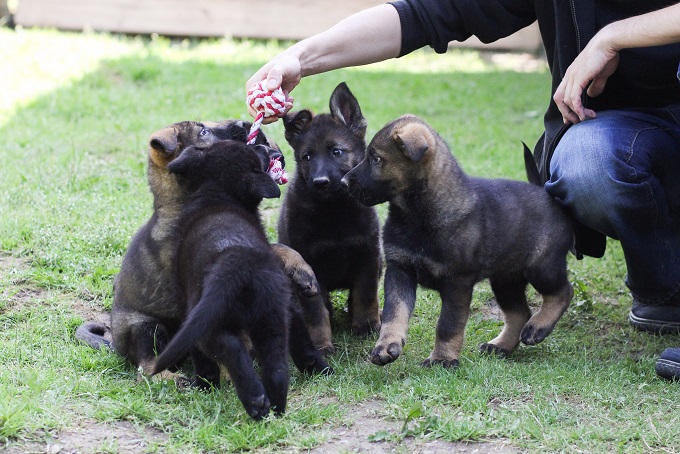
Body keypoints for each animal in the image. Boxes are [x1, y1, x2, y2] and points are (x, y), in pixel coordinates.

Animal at [276, 82, 382, 352]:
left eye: (337, 152)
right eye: (307, 157)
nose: (320, 182)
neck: (334, 210)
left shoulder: (368, 254)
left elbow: (366, 294)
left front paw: (366, 325)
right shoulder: (308, 268)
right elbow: (315, 311)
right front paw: (321, 343)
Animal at [346, 114, 572, 368]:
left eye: (376, 158)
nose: (344, 181)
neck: (415, 215)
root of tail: (546, 193)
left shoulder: (457, 282)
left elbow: (448, 324)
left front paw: (442, 358)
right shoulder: (399, 270)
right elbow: (394, 313)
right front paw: (386, 346)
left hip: (541, 266)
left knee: (562, 292)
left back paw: (538, 327)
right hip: (505, 279)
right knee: (519, 313)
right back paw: (500, 346)